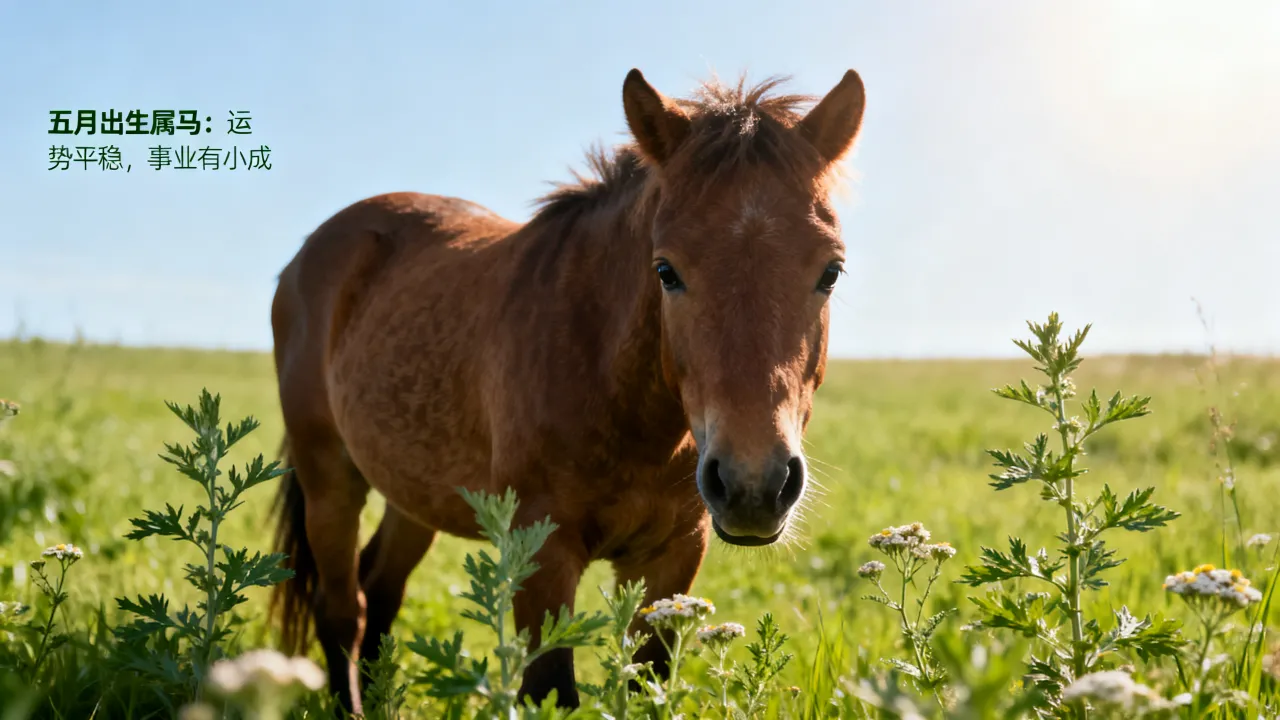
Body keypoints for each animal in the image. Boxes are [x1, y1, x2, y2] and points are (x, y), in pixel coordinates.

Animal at [267, 66, 866, 714]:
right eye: (666, 271)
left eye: (831, 271)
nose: (753, 485)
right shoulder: (541, 553)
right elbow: (551, 688)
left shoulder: (675, 555)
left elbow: (646, 679)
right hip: (330, 480)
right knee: (341, 609)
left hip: (412, 493)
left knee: (379, 593)